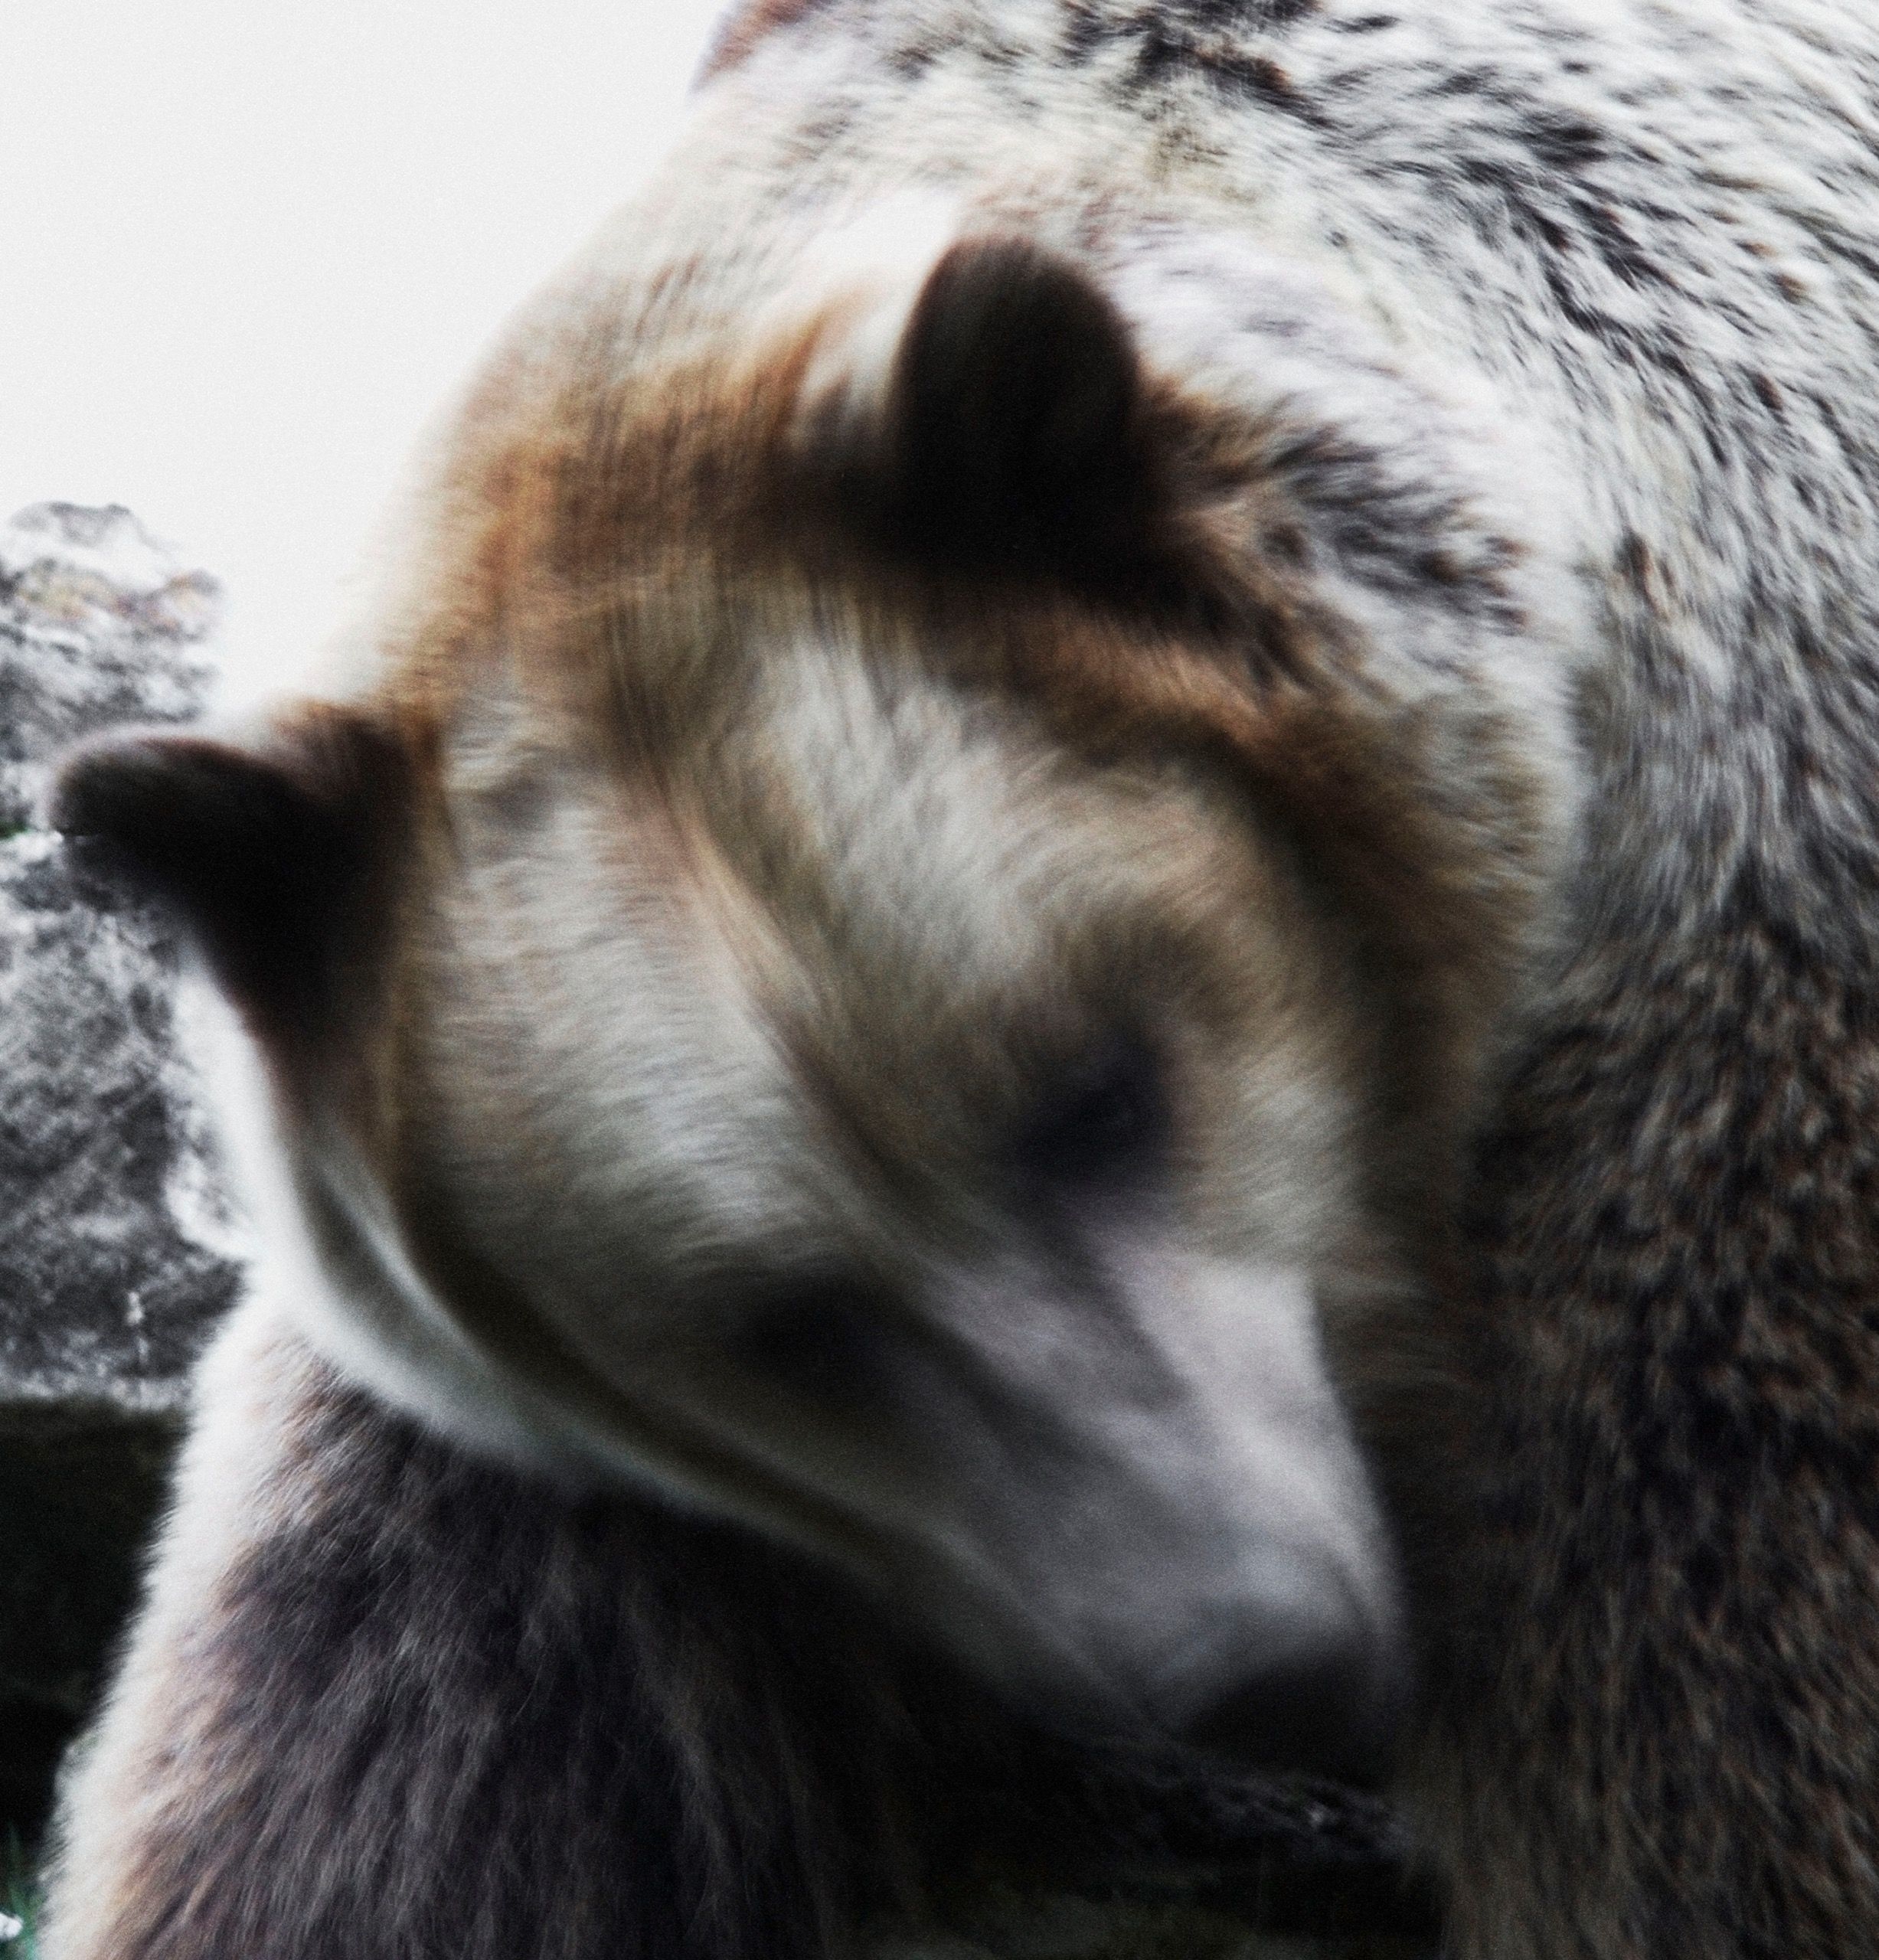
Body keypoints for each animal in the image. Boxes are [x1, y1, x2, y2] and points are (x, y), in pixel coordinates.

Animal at [42, 0, 1879, 1955]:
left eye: (1097, 1089)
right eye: (784, 1320)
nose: (1262, 1659)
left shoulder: (1717, 1050)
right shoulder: (551, 1481)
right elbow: (396, 1771)